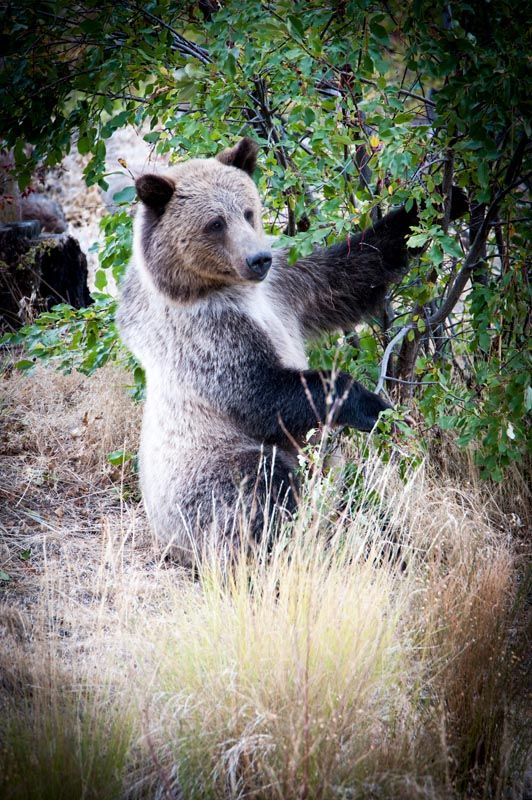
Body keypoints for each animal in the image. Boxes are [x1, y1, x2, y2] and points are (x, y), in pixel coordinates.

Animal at [117, 137, 467, 564]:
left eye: (248, 211)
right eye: (215, 223)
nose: (257, 258)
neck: (217, 289)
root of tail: (166, 539)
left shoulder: (285, 285)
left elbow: (349, 274)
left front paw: (445, 199)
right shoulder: (202, 333)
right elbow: (261, 390)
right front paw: (370, 406)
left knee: (362, 503)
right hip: (205, 469)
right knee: (259, 488)